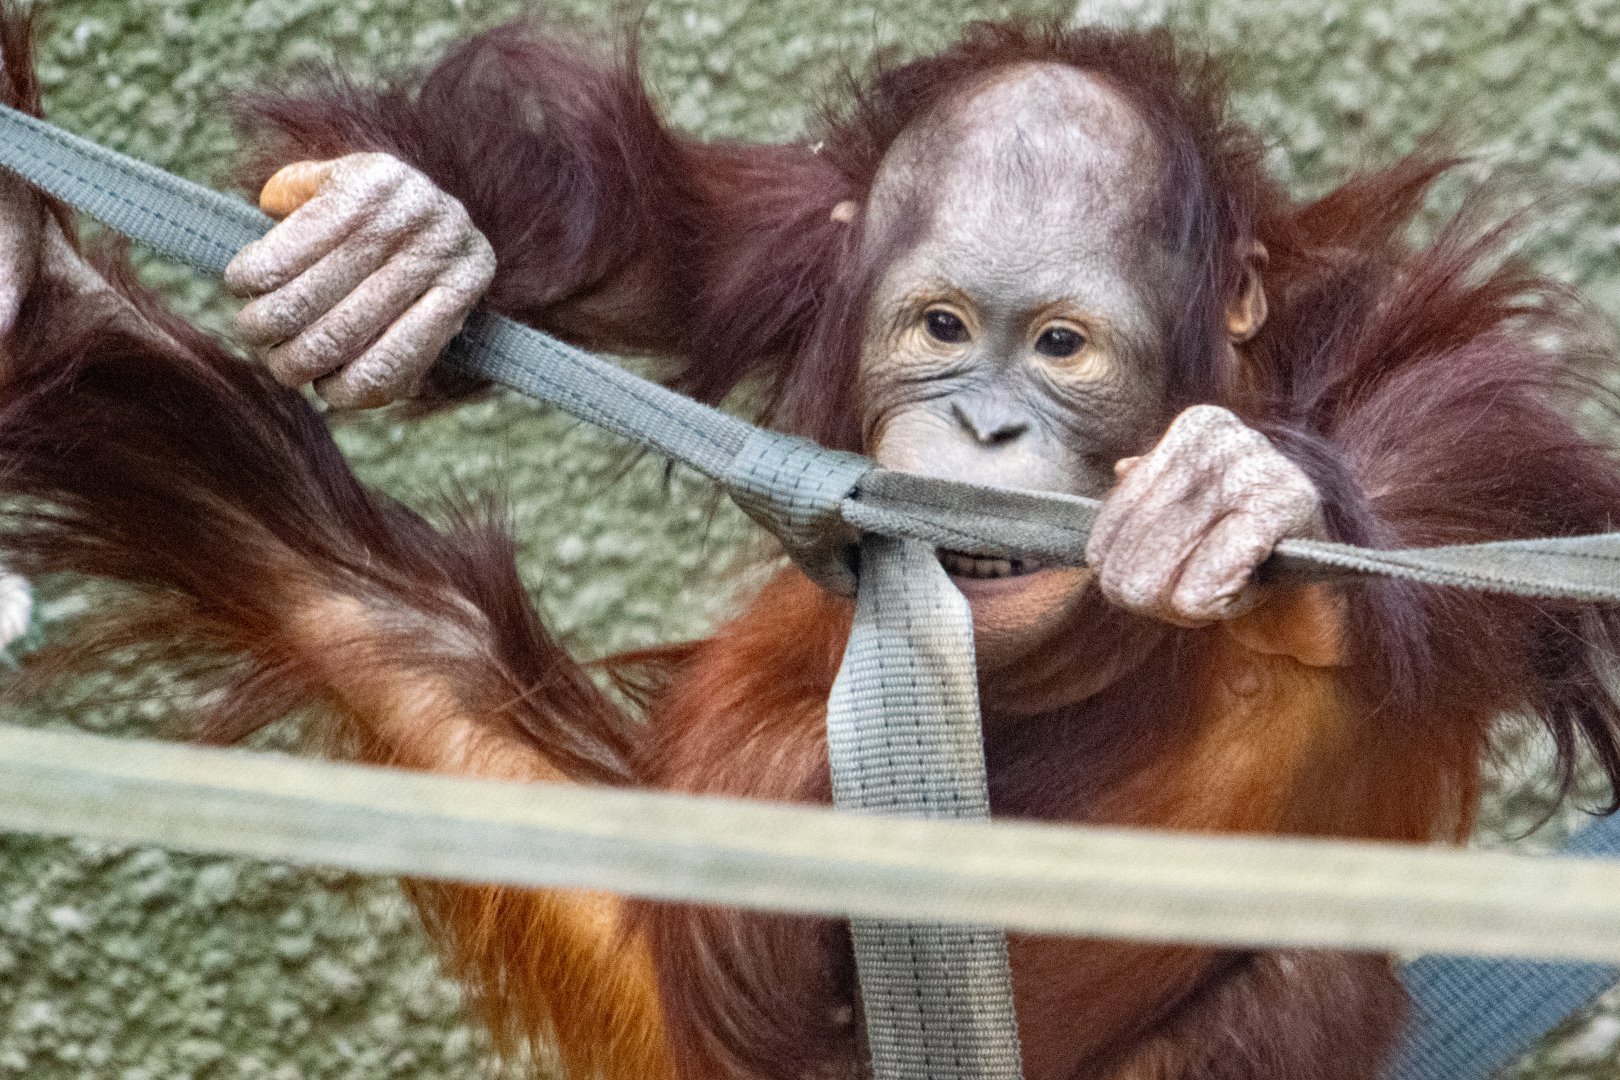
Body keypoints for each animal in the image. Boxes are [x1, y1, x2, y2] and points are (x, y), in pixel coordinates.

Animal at [3, 11, 1620, 1079]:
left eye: (1061, 347)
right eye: (943, 329)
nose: (982, 429)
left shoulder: (1429, 383)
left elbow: (1474, 485)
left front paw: (1245, 495)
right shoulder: (802, 252)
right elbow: (660, 233)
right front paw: (409, 244)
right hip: (659, 974)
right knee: (358, 596)